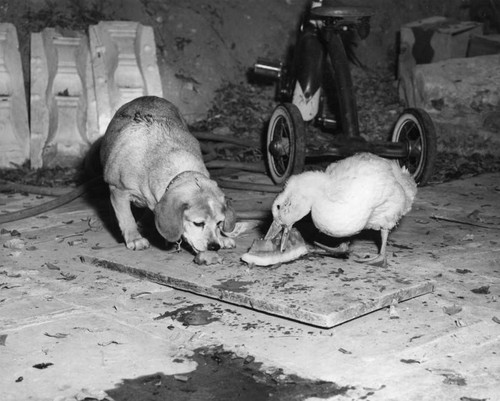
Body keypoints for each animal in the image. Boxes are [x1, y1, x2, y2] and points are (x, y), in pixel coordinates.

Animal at [100, 96, 237, 260]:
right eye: (198, 223)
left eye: (219, 223)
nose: (214, 246)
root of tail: (145, 97)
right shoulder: (119, 190)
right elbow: (127, 218)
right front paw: (135, 238)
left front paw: (222, 237)